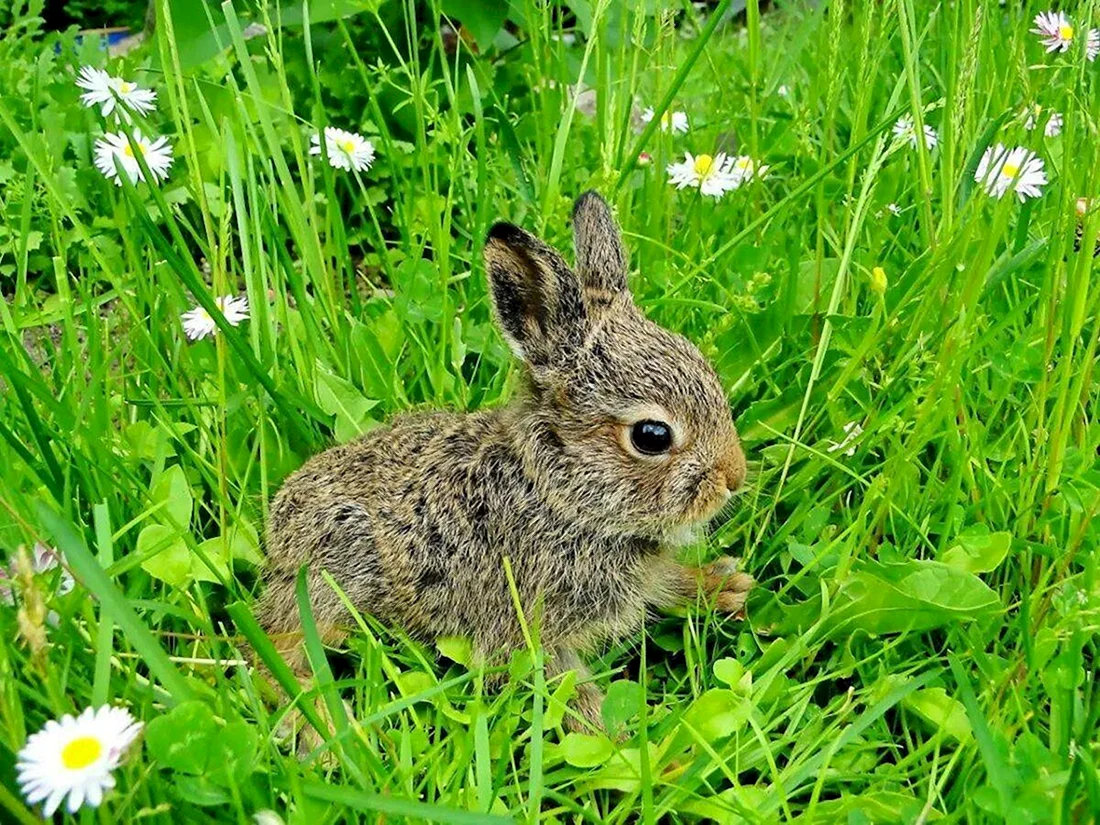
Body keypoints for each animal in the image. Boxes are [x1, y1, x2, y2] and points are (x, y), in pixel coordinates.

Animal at [256, 191, 753, 733]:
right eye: (652, 436)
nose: (733, 477)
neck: (558, 495)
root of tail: (276, 535)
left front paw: (725, 586)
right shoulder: (526, 627)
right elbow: (564, 686)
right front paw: (621, 740)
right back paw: (321, 722)